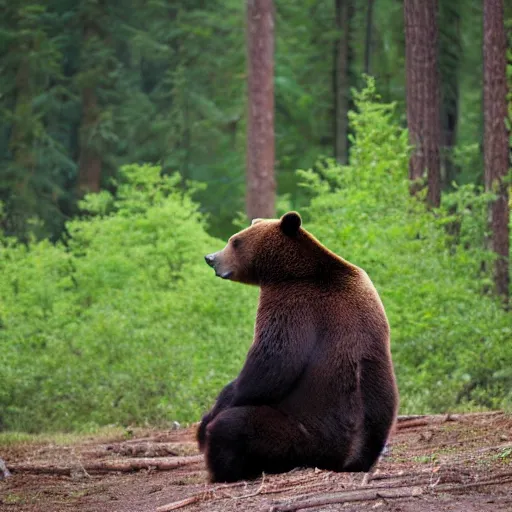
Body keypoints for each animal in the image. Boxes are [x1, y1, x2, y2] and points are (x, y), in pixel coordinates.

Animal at [198, 210, 398, 482]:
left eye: (235, 241)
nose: (210, 258)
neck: (287, 271)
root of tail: (348, 458)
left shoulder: (293, 303)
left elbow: (272, 363)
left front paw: (210, 416)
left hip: (307, 435)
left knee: (235, 426)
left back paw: (224, 469)